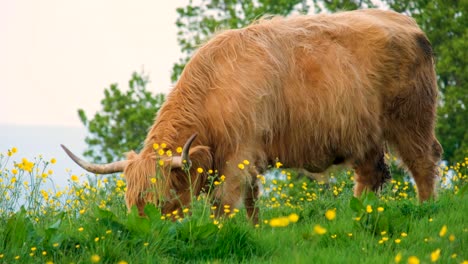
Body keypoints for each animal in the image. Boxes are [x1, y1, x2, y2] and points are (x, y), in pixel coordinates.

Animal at [62, 8, 442, 223]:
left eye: (160, 201)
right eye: (131, 204)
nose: (144, 233)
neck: (213, 93)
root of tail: (407, 23)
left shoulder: (239, 156)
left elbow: (226, 203)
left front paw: (225, 231)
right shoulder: (242, 159)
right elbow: (250, 202)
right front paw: (255, 228)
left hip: (411, 121)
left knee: (423, 163)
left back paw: (425, 211)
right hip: (362, 134)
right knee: (371, 174)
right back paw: (353, 214)